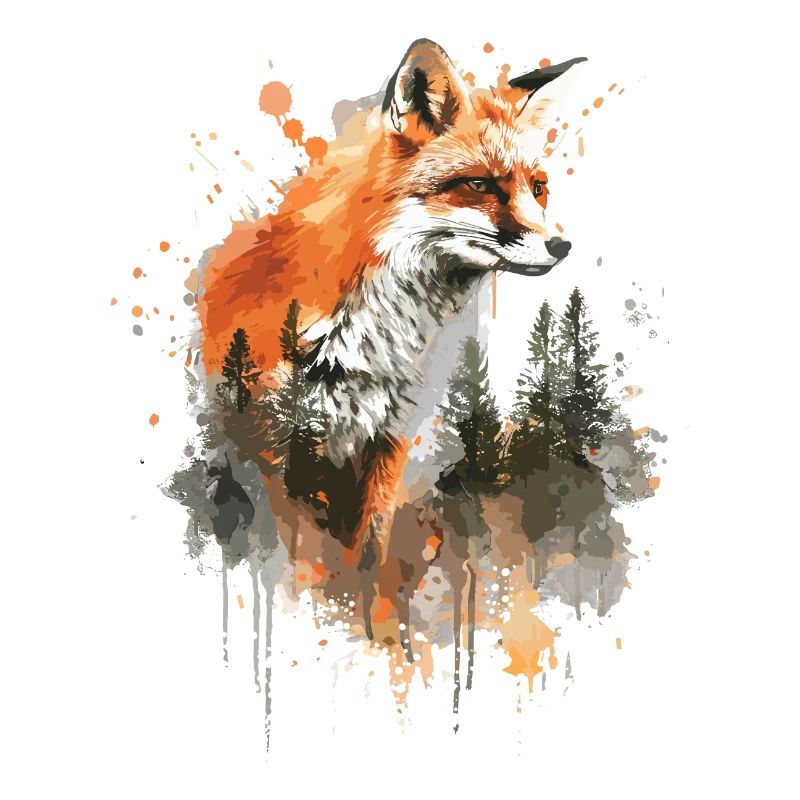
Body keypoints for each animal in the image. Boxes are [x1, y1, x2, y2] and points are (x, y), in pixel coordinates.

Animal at [199, 39, 585, 566]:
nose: (561, 246)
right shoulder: (276, 447)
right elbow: (298, 564)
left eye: (539, 188)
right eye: (481, 185)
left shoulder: (386, 440)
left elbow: (367, 556)